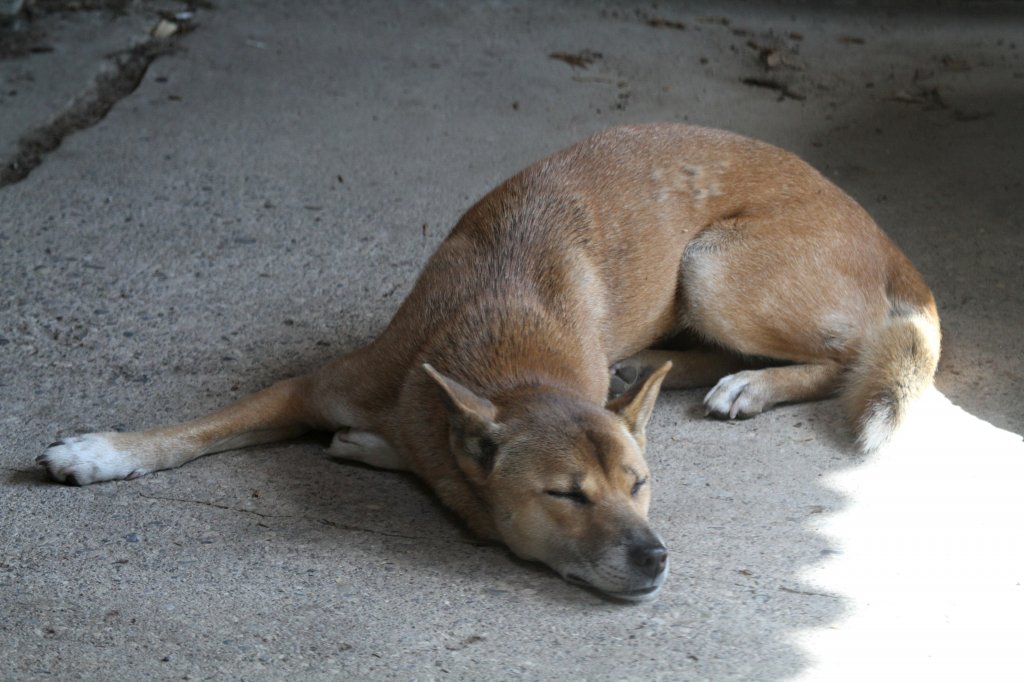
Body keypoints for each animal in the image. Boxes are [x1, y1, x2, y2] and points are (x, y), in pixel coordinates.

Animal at [37, 123, 937, 602]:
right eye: (566, 495)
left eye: (641, 484)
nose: (655, 557)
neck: (509, 357)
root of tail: (882, 232)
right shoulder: (316, 385)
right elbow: (198, 427)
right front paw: (103, 451)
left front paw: (378, 449)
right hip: (707, 270)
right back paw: (657, 366)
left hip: (714, 266)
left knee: (844, 354)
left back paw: (749, 382)